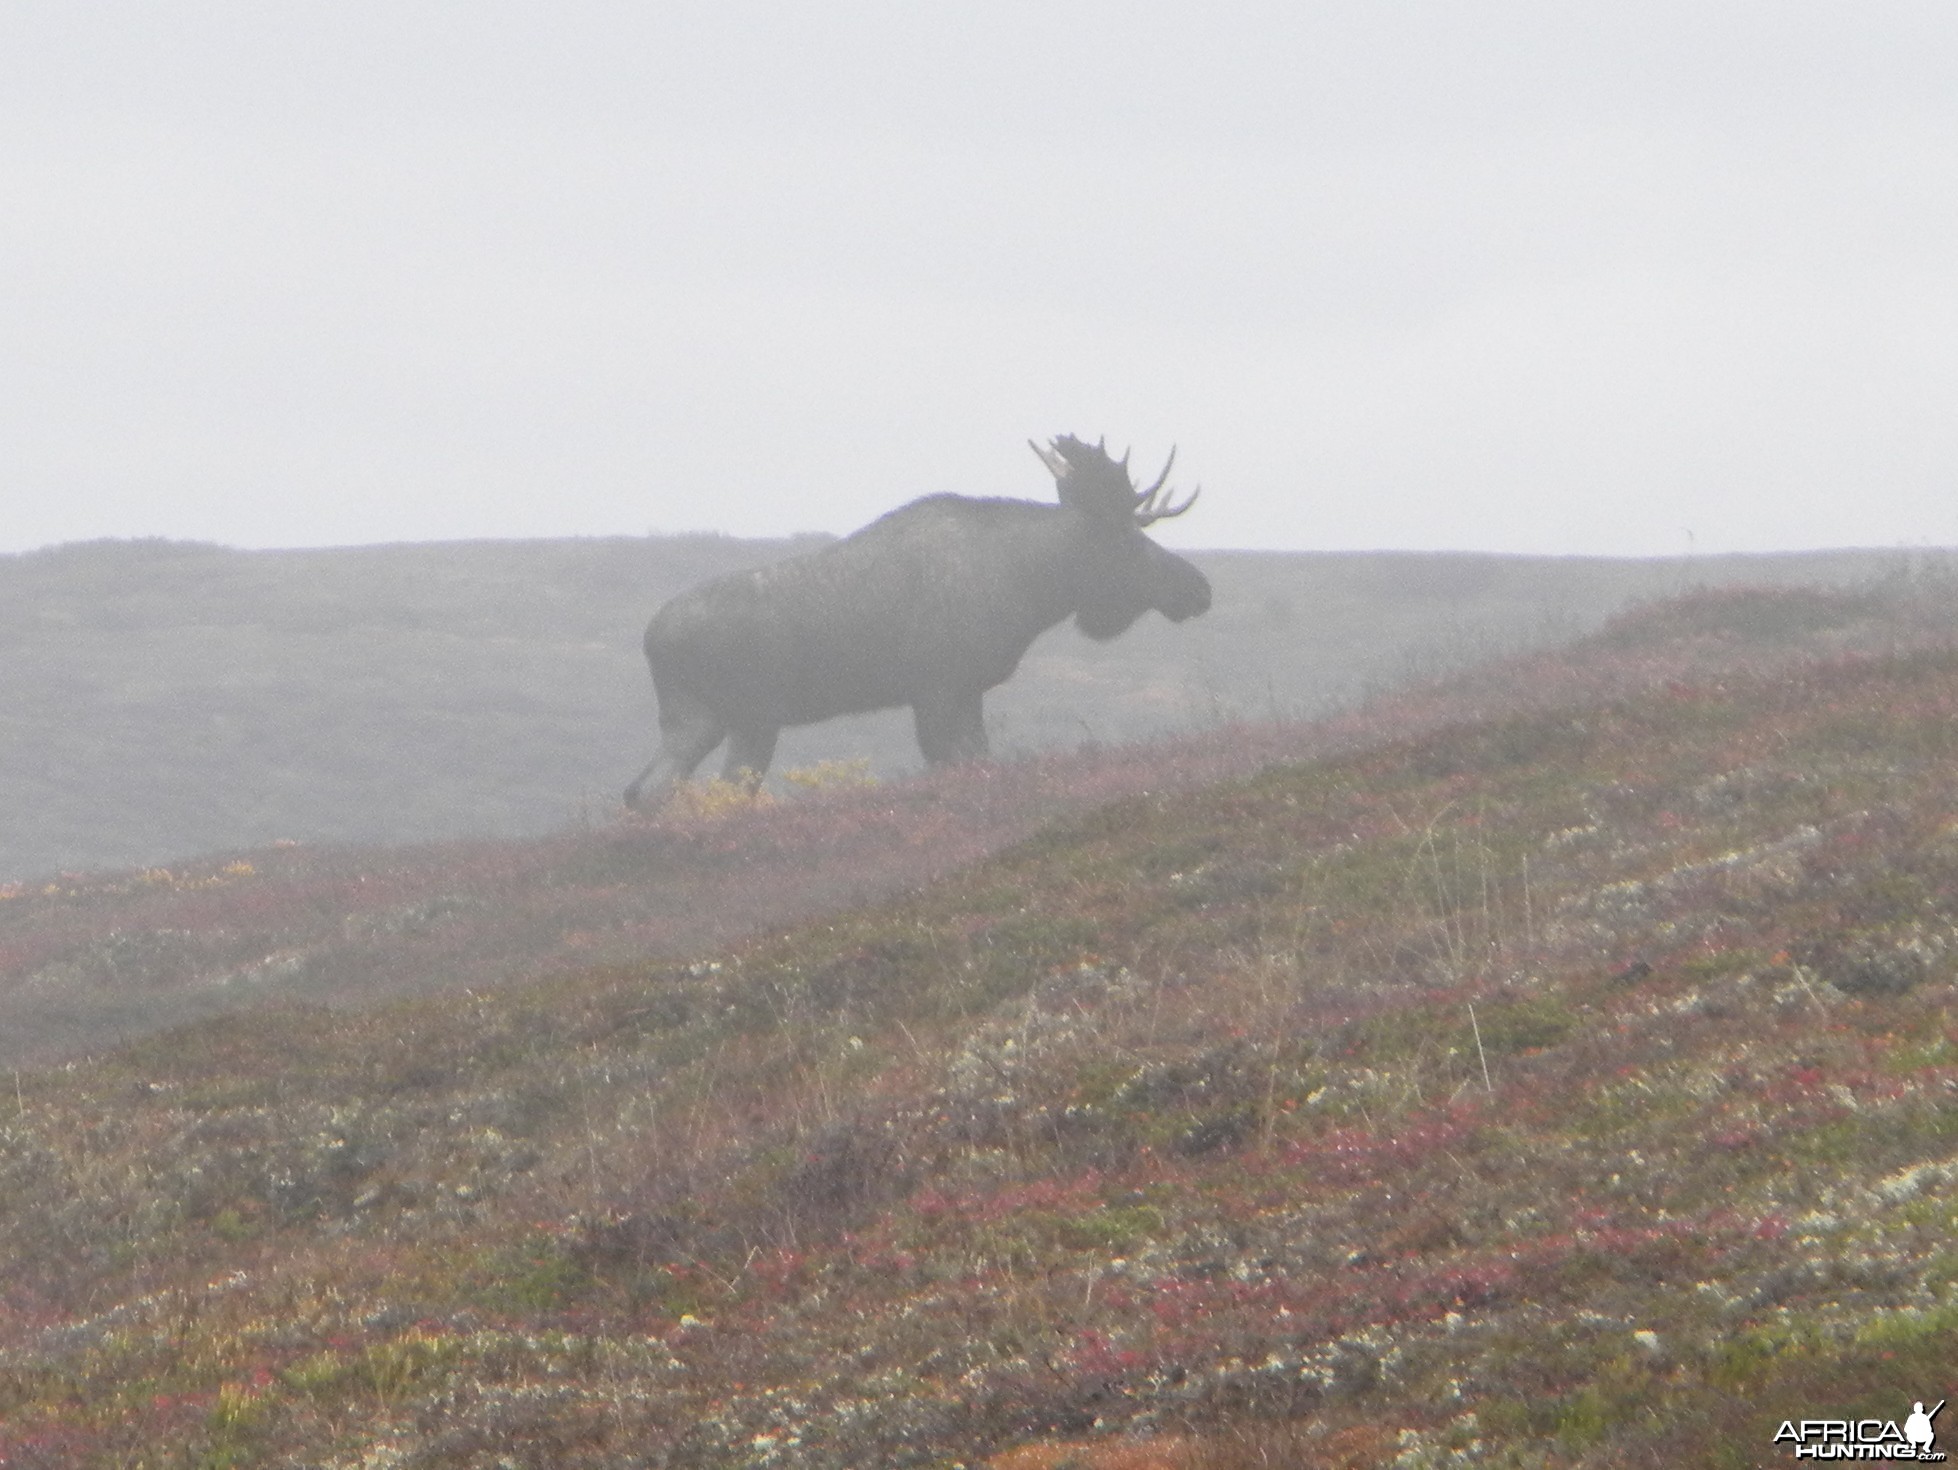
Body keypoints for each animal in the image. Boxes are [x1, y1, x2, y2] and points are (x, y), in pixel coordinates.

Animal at [626, 430, 1206, 810]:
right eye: (1127, 537)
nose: (1198, 588)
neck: (1031, 585)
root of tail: (651, 638)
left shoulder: (964, 691)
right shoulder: (940, 689)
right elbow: (954, 765)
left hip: (716, 720)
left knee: (651, 789)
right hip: (734, 717)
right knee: (664, 789)